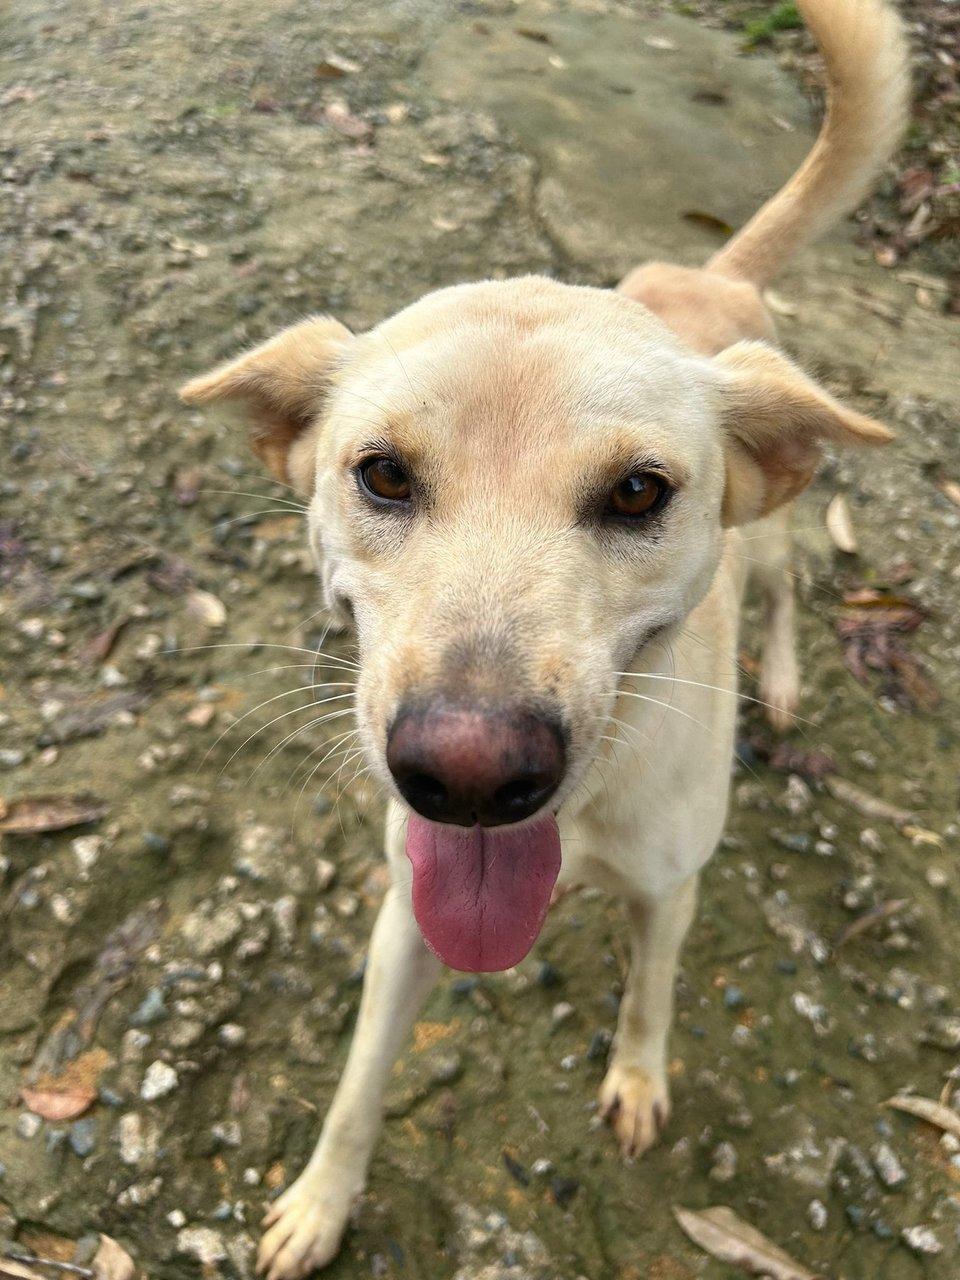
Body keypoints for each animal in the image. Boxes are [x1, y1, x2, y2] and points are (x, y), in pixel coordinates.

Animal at [179, 5, 911, 1274]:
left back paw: (777, 678)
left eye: (638, 492)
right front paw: (320, 1199)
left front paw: (640, 1078)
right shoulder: (407, 913)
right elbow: (358, 1080)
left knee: (786, 588)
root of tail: (707, 274)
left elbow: (652, 995)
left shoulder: (669, 891)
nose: (469, 777)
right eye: (381, 474)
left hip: (778, 534)